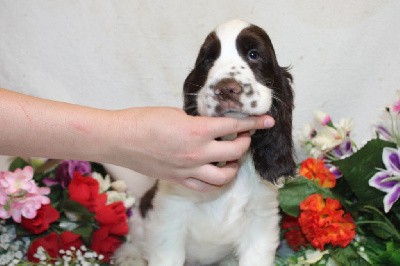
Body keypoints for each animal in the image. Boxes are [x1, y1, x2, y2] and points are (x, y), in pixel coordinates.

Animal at [114, 19, 296, 266]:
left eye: (253, 54)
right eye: (208, 60)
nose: (227, 88)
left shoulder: (261, 219)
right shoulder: (171, 213)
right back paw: (129, 256)